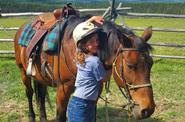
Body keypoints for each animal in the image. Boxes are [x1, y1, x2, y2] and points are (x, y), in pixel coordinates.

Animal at [14, 14, 155, 122]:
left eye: (151, 64)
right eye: (130, 65)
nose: (148, 110)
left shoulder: (96, 91)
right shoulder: (63, 90)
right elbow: (60, 116)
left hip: (40, 76)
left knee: (41, 95)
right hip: (23, 71)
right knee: (29, 93)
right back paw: (32, 116)